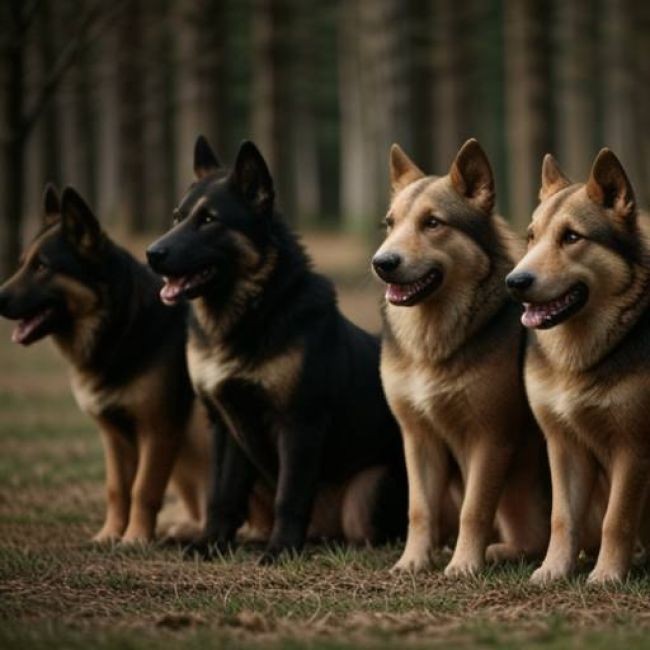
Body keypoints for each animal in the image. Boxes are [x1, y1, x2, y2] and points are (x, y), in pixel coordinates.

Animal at [0, 184, 208, 540]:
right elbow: (117, 488)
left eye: (42, 267)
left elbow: (143, 488)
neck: (121, 325)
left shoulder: (159, 430)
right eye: (23, 264)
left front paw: (135, 537)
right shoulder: (114, 437)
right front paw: (110, 534)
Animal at [146, 134, 410, 560]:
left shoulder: (299, 423)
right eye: (177, 217)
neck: (254, 311)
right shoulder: (225, 426)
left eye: (209, 220)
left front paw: (281, 549)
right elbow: (221, 495)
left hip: (365, 498)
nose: (151, 254)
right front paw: (210, 543)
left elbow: (291, 494)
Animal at [372, 139, 548, 576]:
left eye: (433, 223)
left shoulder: (491, 438)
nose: (381, 263)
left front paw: (465, 564)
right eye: (389, 224)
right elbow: (419, 510)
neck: (431, 342)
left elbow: (475, 509)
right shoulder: (417, 436)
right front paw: (412, 562)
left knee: (534, 540)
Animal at [506, 148, 648, 584]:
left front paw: (607, 575)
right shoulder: (563, 444)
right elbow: (562, 518)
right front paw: (553, 570)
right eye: (531, 236)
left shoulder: (632, 446)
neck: (578, 358)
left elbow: (616, 519)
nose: (514, 282)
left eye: (571, 237)